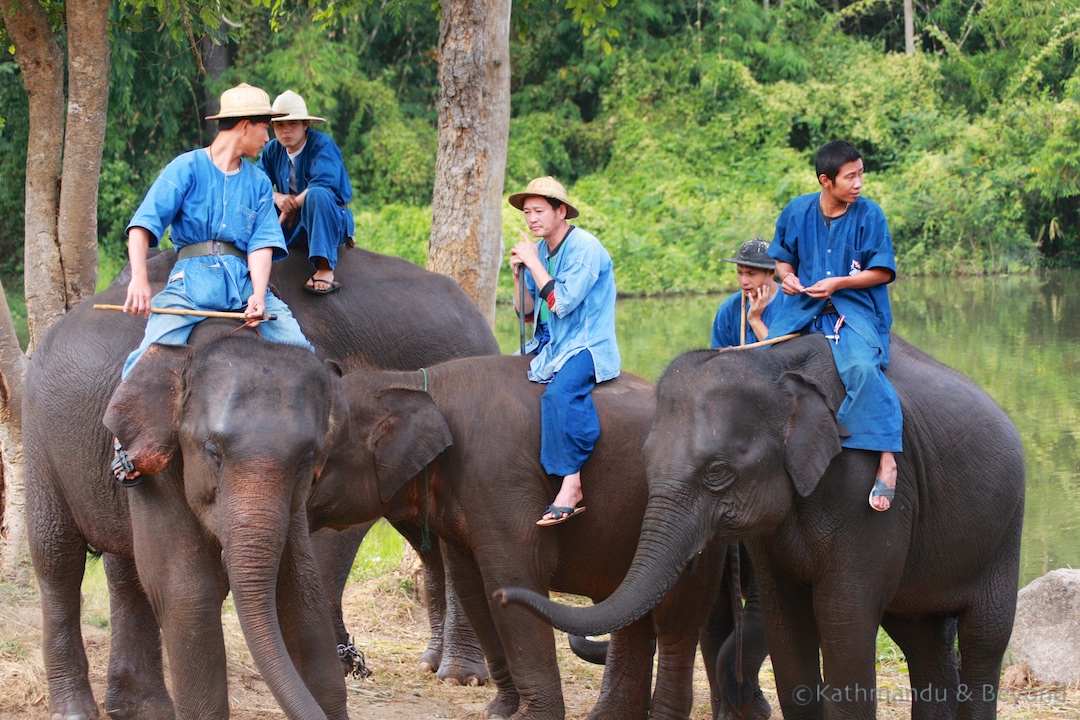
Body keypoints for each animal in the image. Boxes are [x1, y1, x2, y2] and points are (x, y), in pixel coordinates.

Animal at [25, 248, 496, 720]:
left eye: (308, 457)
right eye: (212, 452)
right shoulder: (157, 458)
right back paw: (79, 711)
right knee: (59, 560)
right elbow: (188, 588)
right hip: (43, 446)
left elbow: (299, 586)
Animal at [304, 354, 768, 720]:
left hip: (700, 516)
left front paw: (530, 716)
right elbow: (474, 587)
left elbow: (515, 578)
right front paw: (500, 711)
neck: (413, 382)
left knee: (677, 619)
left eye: (313, 459)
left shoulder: (500, 474)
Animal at [496, 334, 1019, 720]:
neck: (775, 366)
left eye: (717, 472)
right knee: (923, 637)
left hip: (1004, 531)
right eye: (645, 460)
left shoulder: (868, 491)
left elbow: (843, 615)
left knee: (984, 638)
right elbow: (785, 621)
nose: (501, 595)